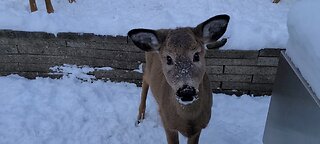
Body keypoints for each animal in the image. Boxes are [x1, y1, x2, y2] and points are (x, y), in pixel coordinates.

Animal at [127, 14, 230, 144]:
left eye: (196, 55)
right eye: (168, 58)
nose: (186, 91)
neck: (188, 118)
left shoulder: (198, 128)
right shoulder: (168, 125)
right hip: (149, 68)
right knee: (145, 77)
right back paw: (140, 118)